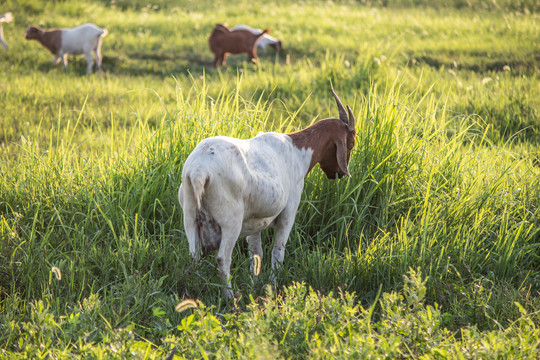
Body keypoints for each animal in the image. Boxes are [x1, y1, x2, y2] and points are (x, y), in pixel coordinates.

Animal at [179, 88, 356, 300]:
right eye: (351, 144)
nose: (338, 174)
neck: (298, 150)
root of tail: (199, 170)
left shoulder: (254, 221)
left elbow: (256, 254)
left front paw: (254, 283)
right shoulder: (288, 213)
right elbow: (277, 252)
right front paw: (273, 284)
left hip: (190, 216)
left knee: (194, 256)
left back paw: (196, 293)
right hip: (230, 221)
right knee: (223, 259)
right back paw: (230, 297)